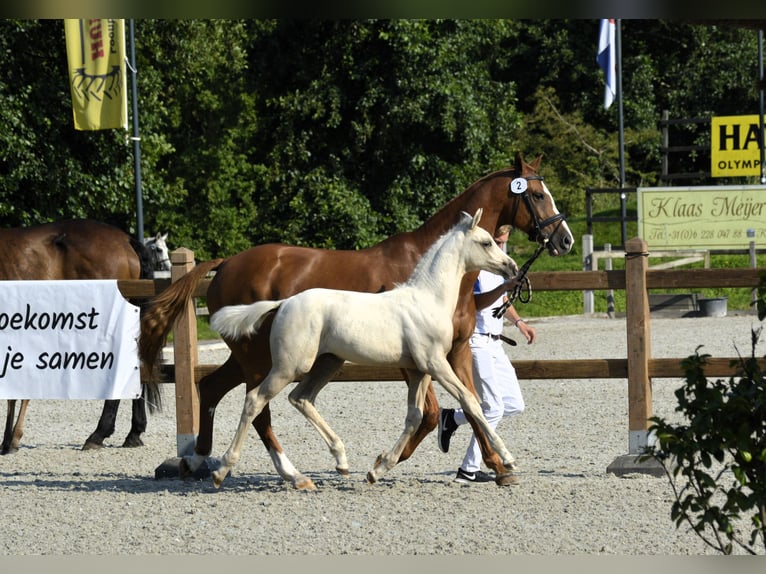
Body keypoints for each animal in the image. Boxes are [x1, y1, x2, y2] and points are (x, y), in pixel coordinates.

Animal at [210, 209, 520, 488]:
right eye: (486, 242)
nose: (512, 268)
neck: (428, 299)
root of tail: (284, 303)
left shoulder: (418, 370)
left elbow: (415, 416)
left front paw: (377, 470)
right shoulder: (435, 363)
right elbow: (470, 401)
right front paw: (508, 459)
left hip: (328, 363)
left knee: (301, 398)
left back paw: (341, 461)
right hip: (289, 366)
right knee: (255, 401)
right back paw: (223, 471)